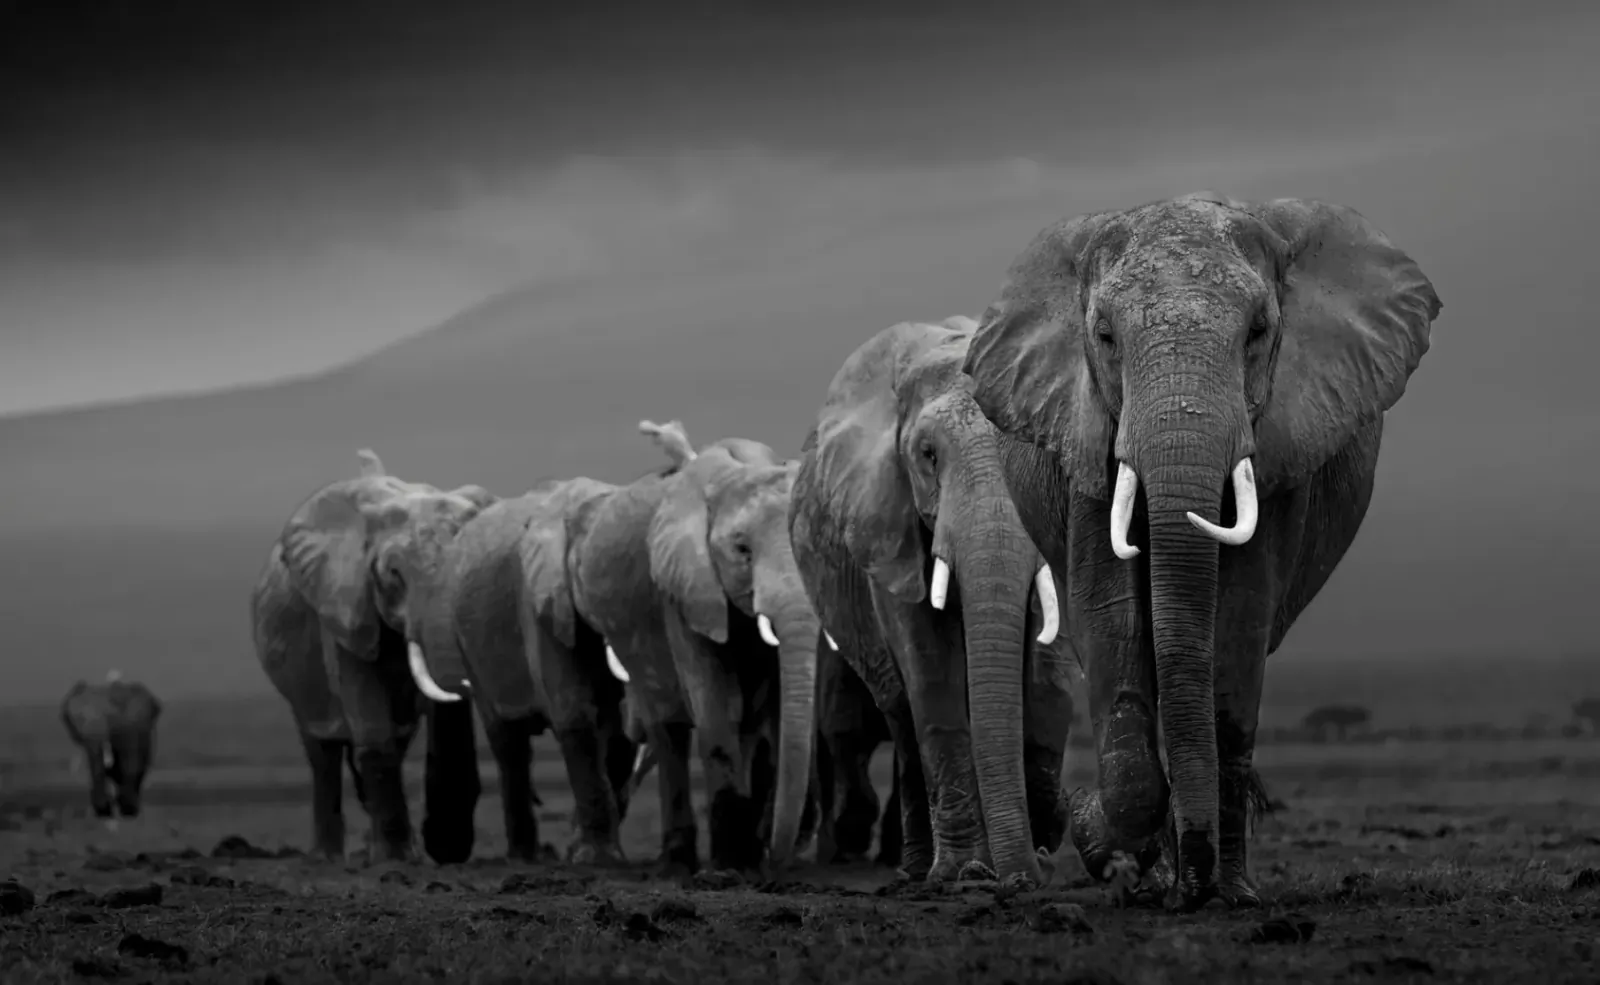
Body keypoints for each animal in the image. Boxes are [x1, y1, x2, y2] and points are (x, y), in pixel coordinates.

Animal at [60, 671, 162, 824]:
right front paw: (106, 810)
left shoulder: (130, 725)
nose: (104, 811)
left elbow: (130, 763)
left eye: (110, 716)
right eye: (76, 719)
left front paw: (128, 810)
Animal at [250, 449, 498, 865]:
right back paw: (329, 857)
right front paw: (398, 860)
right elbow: (371, 726)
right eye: (394, 574)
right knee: (322, 752)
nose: (444, 847)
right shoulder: (343, 603)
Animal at [565, 420, 825, 876]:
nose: (779, 855)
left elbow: (776, 708)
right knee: (667, 730)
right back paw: (678, 862)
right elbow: (714, 704)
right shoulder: (683, 588)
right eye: (742, 550)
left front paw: (753, 856)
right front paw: (727, 868)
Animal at [789, 315, 1077, 887]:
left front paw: (1042, 841)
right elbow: (929, 664)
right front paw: (968, 872)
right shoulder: (886, 520)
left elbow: (1047, 669)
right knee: (902, 716)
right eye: (928, 456)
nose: (1021, 878)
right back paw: (918, 869)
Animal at [959, 192, 1443, 909]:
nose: (1195, 889)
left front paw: (1217, 890)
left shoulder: (1282, 449)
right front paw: (1103, 833)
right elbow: (1110, 614)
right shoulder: (1084, 439)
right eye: (1105, 338)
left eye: (1258, 332)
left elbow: (1238, 620)